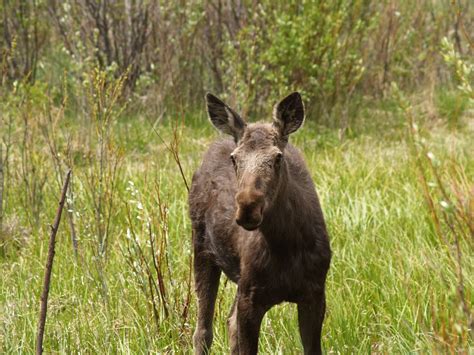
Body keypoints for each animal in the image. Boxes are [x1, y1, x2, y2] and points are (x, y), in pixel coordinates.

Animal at [188, 93, 330, 354]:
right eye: (235, 159)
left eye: (277, 157)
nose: (248, 208)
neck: (285, 246)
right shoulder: (251, 298)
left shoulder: (315, 294)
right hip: (202, 248)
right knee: (203, 331)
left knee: (229, 323)